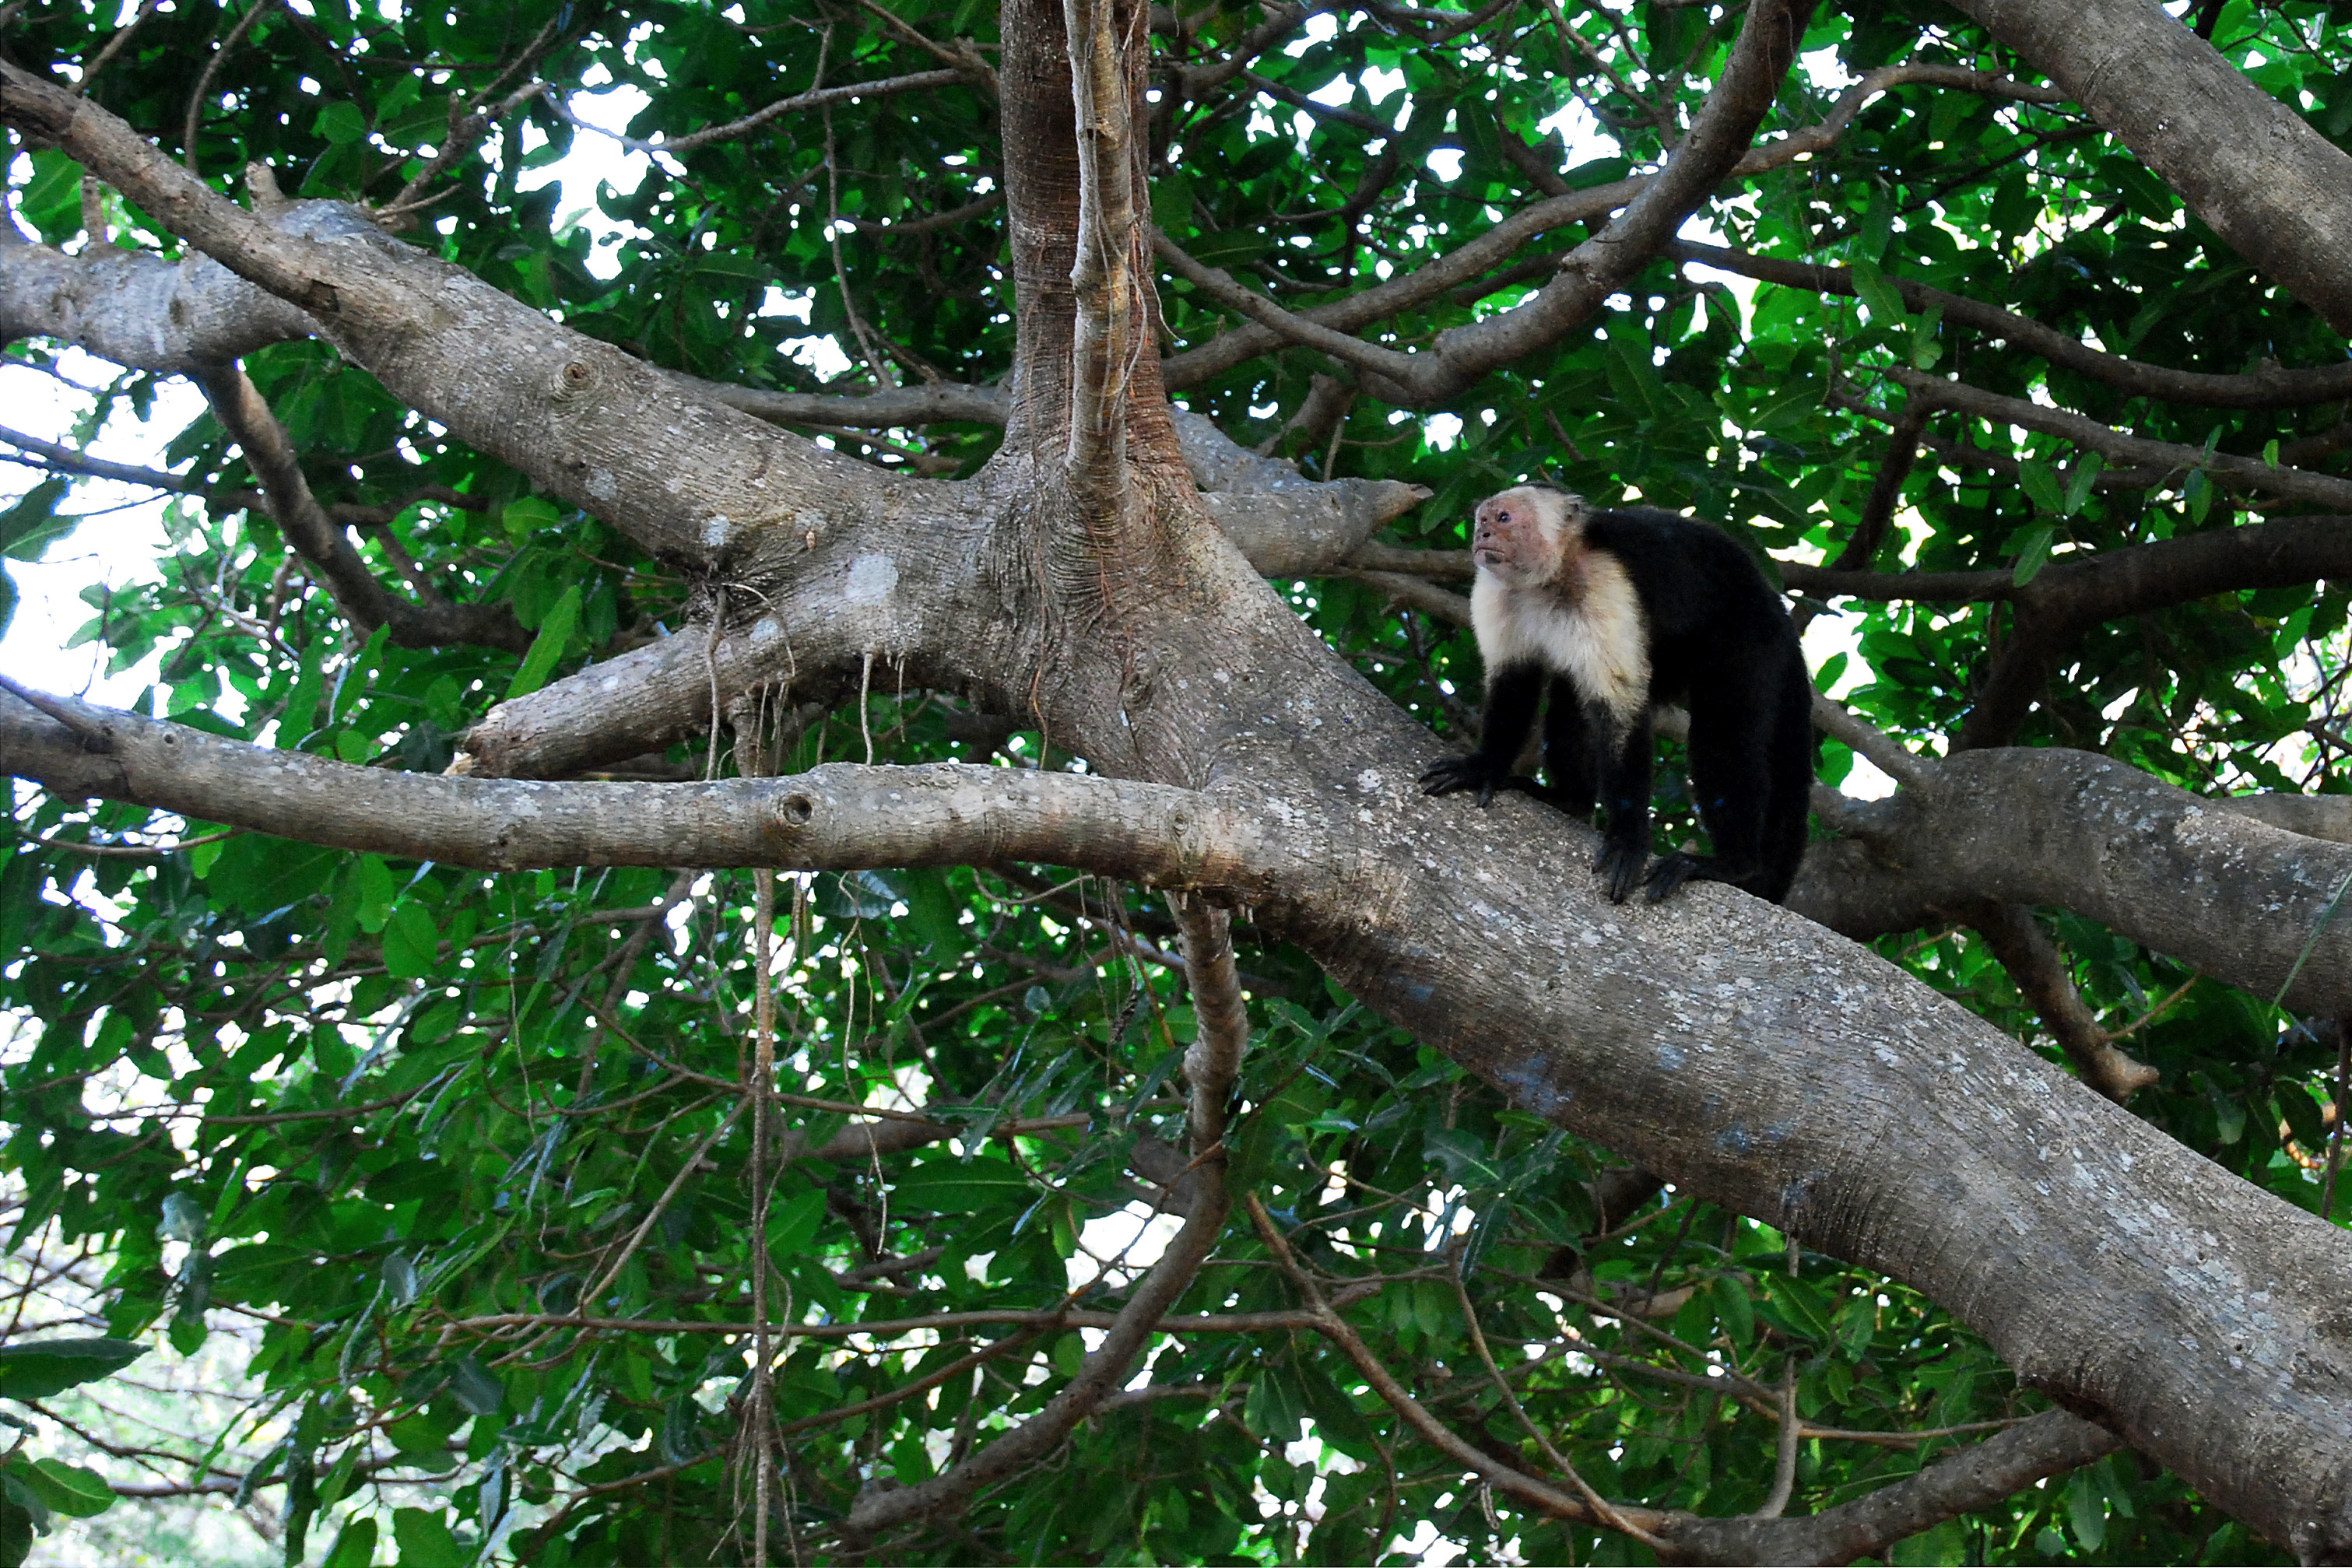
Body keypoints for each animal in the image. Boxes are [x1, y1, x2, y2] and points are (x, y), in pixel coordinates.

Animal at [1418, 484, 1813, 905]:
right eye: (1482, 519)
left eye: (1504, 518)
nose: (1482, 534)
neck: (1548, 578)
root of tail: (1774, 603)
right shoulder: (1495, 592)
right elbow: (1513, 681)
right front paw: (1484, 767)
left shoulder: (1603, 582)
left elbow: (1620, 707)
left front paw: (1628, 838)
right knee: (1571, 703)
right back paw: (1568, 800)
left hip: (1750, 636)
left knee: (1723, 732)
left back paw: (1733, 864)